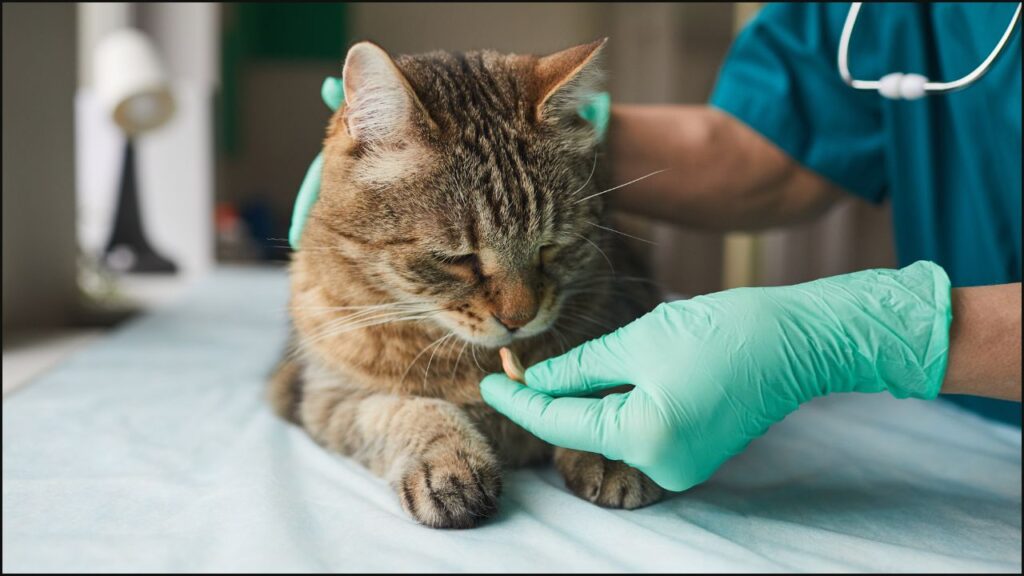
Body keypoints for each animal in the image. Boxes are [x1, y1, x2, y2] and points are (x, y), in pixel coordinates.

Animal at [268, 38, 663, 528]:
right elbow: (409, 410)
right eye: (458, 259)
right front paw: (448, 463)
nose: (519, 318)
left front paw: (611, 439)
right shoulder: (323, 396)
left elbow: (611, 379)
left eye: (550, 247)